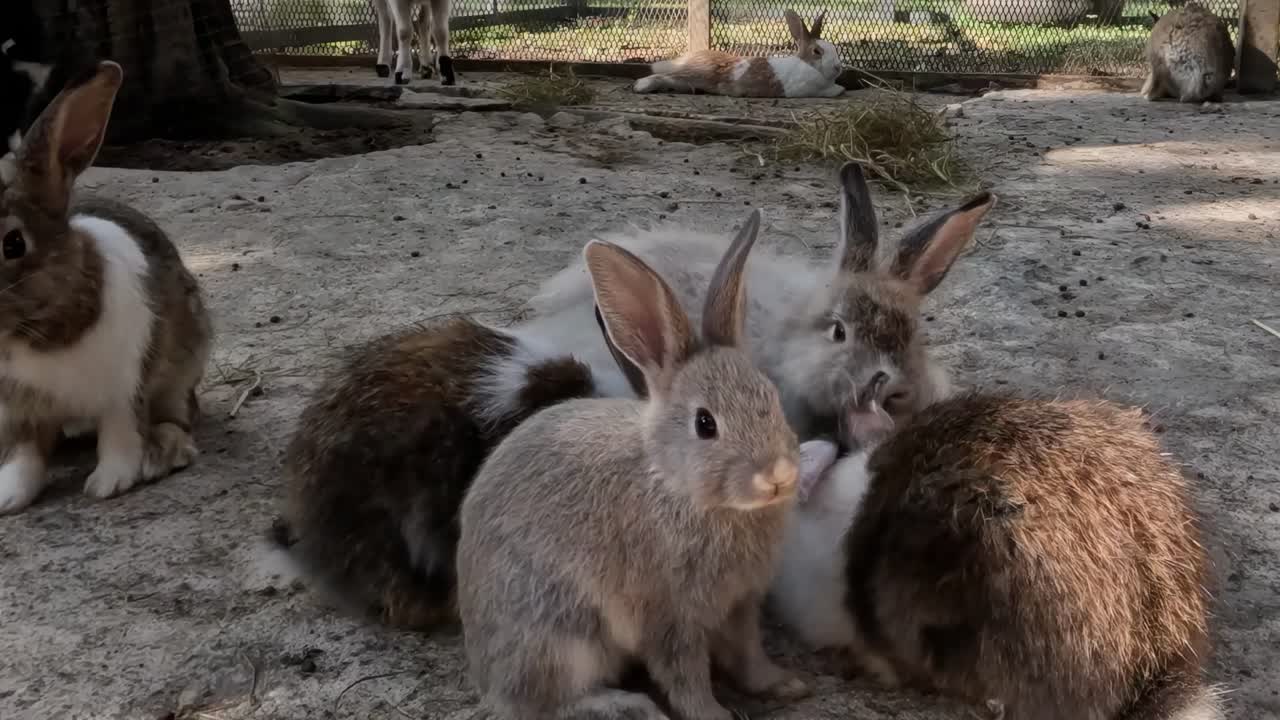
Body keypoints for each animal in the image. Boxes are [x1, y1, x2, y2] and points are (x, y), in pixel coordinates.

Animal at [0, 60, 211, 515]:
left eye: (14, 243)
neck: (40, 331)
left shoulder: (125, 385)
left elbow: (121, 435)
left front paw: (110, 483)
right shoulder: (19, 409)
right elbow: (24, 454)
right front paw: (8, 497)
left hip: (183, 364)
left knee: (178, 412)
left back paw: (165, 452)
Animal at [458, 209, 809, 720]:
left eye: (772, 398)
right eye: (705, 423)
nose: (777, 476)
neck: (676, 486)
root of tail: (484, 671)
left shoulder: (740, 604)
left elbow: (748, 654)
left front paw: (783, 685)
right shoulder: (668, 617)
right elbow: (685, 676)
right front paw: (714, 715)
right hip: (562, 634)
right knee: (546, 701)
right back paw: (628, 705)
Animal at [633, 10, 844, 98]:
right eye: (817, 51)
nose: (838, 67)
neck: (808, 65)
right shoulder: (805, 88)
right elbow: (833, 91)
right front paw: (840, 89)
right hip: (698, 73)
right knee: (662, 75)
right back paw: (641, 87)